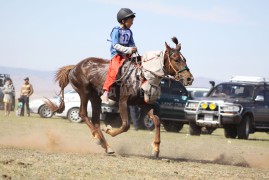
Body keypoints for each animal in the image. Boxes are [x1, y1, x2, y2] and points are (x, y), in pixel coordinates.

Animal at [46, 37, 193, 158]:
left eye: (185, 59)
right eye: (176, 59)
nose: (189, 78)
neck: (140, 75)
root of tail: (74, 67)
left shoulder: (142, 103)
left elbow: (156, 120)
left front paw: (156, 149)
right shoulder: (123, 101)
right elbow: (126, 125)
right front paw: (109, 130)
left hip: (95, 98)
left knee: (95, 120)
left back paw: (106, 146)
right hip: (84, 93)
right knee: (83, 114)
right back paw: (98, 139)